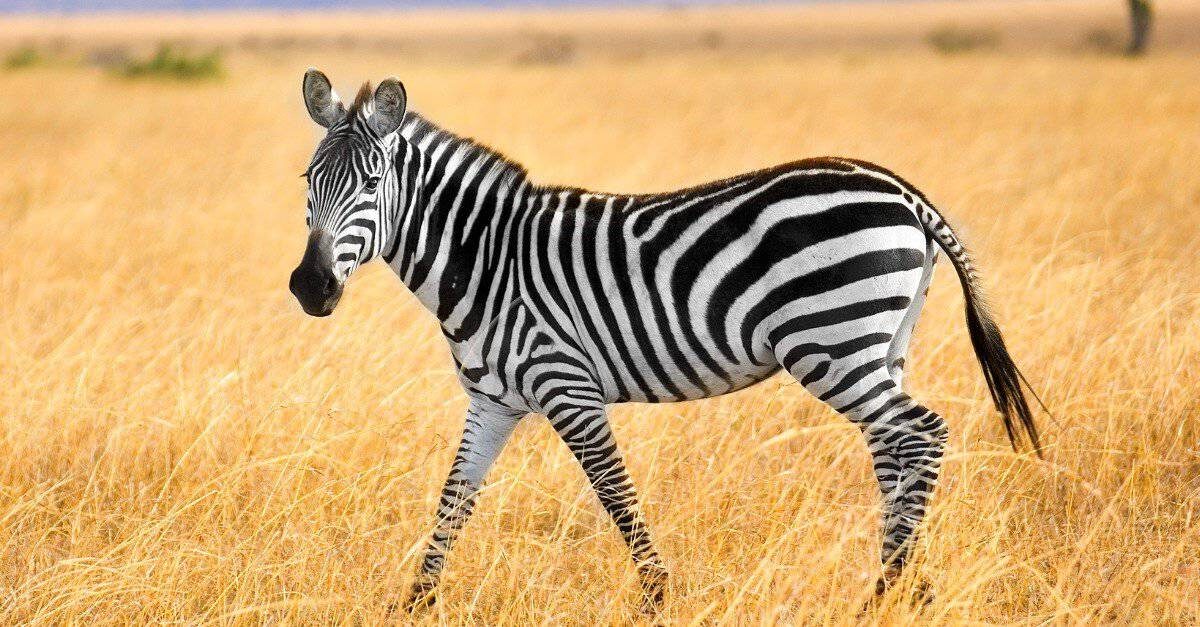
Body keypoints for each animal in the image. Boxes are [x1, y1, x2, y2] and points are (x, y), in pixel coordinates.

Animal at [289, 69, 1043, 612]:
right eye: (308, 181)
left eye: (372, 183)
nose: (309, 288)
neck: (486, 258)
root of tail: (902, 191)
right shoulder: (493, 400)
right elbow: (454, 499)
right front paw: (415, 601)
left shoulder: (567, 386)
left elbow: (614, 493)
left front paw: (657, 596)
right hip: (882, 342)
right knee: (895, 447)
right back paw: (907, 588)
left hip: (832, 343)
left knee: (920, 433)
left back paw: (887, 590)